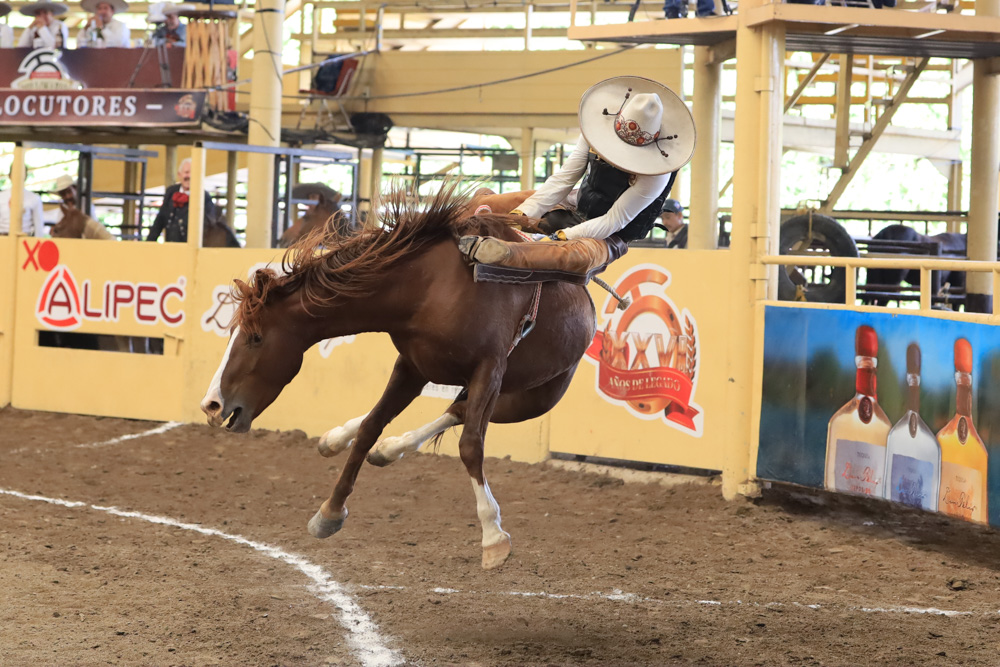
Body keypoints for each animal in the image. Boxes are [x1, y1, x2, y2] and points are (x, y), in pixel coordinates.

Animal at [199, 183, 596, 568]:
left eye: (256, 337)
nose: (212, 405)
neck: (431, 289)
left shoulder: (490, 369)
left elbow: (470, 446)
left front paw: (493, 537)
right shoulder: (411, 366)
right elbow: (370, 427)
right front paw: (330, 512)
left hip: (527, 398)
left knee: (460, 413)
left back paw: (390, 448)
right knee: (450, 410)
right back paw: (353, 442)